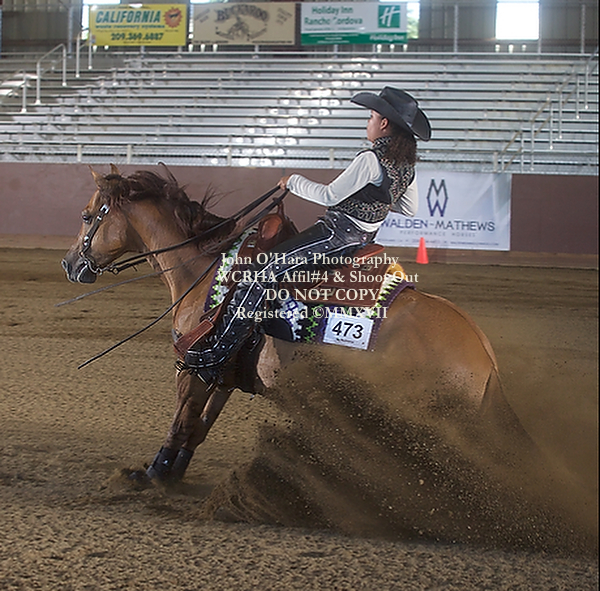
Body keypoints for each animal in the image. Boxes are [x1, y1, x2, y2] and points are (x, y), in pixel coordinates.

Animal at [61, 165, 527, 483]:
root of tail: (486, 359)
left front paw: (151, 475)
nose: (69, 264)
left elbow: (181, 420)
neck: (205, 268)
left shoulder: (194, 365)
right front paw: (173, 473)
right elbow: (199, 426)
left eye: (87, 216)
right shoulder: (225, 374)